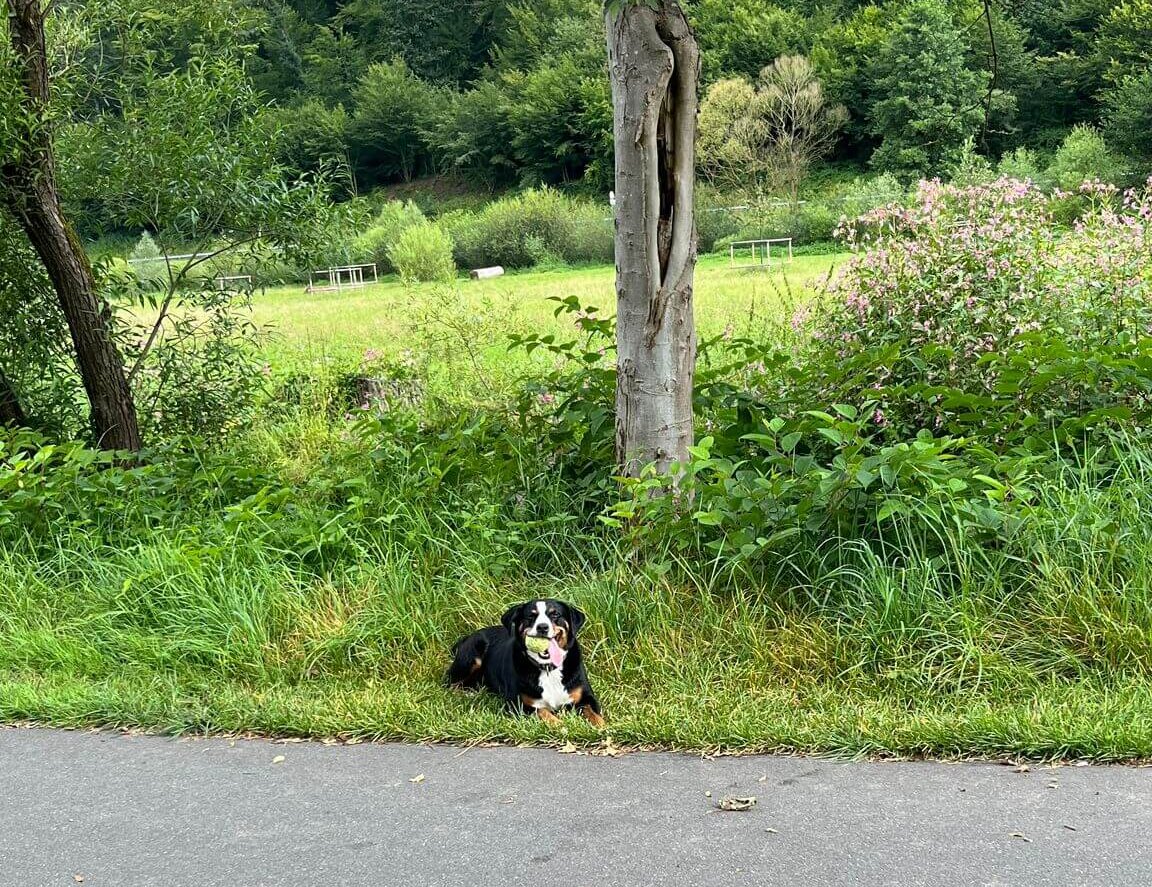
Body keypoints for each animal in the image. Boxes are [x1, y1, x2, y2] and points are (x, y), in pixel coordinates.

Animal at [442, 599, 603, 723]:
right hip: (472, 657)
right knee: (449, 684)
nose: (542, 627)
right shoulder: (518, 704)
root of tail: (468, 636)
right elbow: (542, 712)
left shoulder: (587, 697)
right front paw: (559, 724)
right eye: (531, 616)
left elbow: (593, 713)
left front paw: (602, 728)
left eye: (555, 614)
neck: (547, 669)